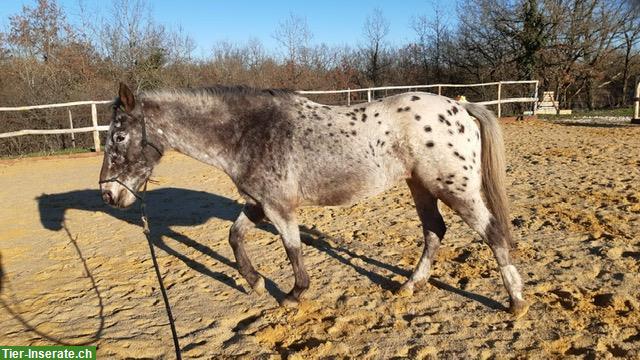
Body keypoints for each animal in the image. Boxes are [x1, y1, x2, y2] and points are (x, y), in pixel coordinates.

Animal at [100, 82, 528, 318]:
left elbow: (293, 250)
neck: (250, 132)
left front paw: (293, 294)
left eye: (118, 137)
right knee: (434, 232)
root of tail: (460, 108)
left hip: (455, 188)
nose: (108, 193)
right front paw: (255, 282)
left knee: (492, 234)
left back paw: (516, 301)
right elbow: (234, 237)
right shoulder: (259, 203)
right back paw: (408, 286)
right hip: (421, 187)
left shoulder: (279, 208)